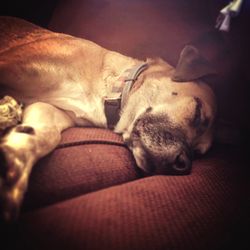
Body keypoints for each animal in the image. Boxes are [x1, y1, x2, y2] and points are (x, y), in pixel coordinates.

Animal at [0, 16, 217, 222]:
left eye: (198, 153)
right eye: (197, 113)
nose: (183, 165)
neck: (112, 88)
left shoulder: (51, 110)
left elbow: (44, 135)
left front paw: (13, 168)